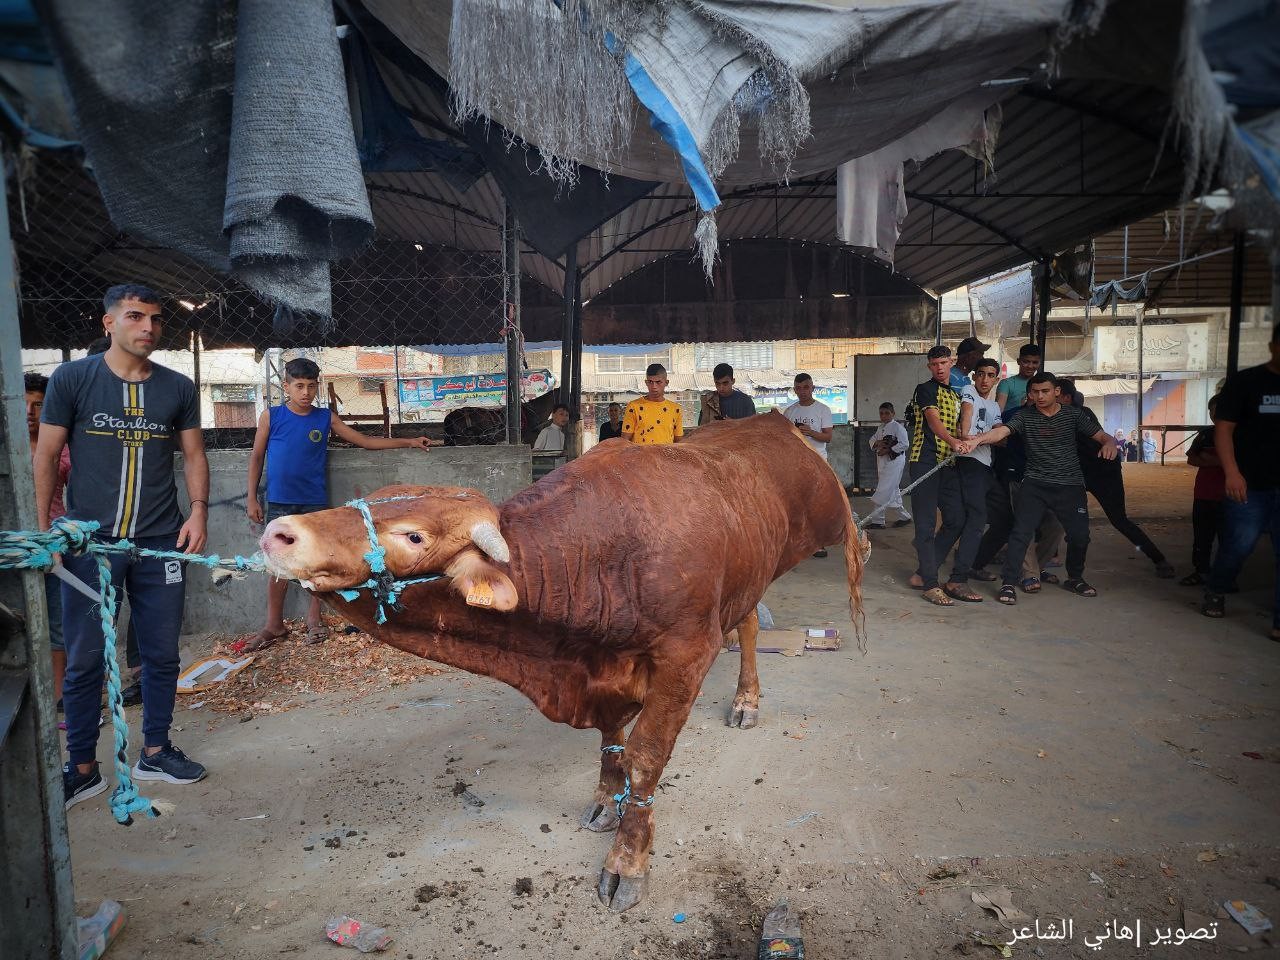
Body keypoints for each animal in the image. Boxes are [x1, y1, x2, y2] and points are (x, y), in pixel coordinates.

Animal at [259, 409, 865, 911]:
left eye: (413, 536)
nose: (278, 532)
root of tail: (775, 421)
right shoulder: (604, 671)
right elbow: (612, 745)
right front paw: (605, 802)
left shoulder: (687, 653)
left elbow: (644, 760)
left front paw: (628, 860)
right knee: (748, 617)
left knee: (771, 604)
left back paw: (752, 692)